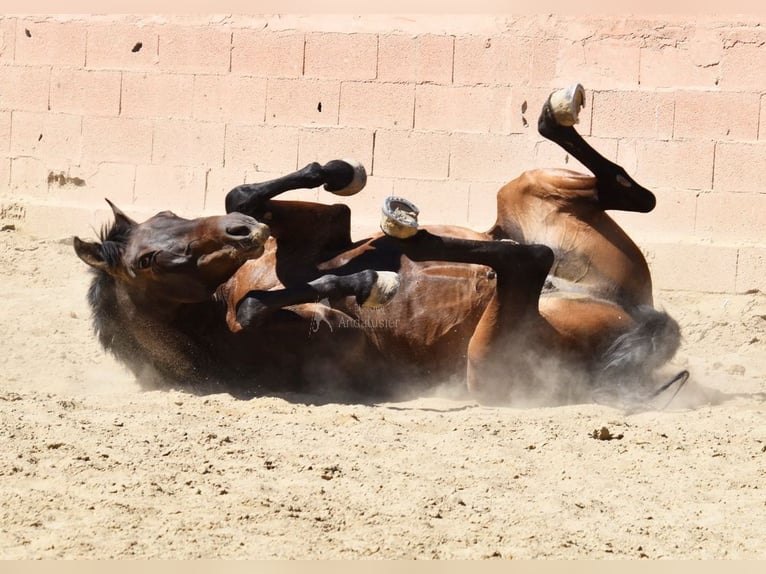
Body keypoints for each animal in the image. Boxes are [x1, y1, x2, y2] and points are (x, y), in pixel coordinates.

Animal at [74, 84, 684, 405]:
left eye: (167, 215)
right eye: (150, 260)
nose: (242, 234)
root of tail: (638, 315)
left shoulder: (317, 233)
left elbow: (247, 194)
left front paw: (341, 175)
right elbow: (265, 304)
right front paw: (371, 279)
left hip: (528, 192)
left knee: (629, 192)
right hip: (488, 364)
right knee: (530, 259)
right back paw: (411, 234)